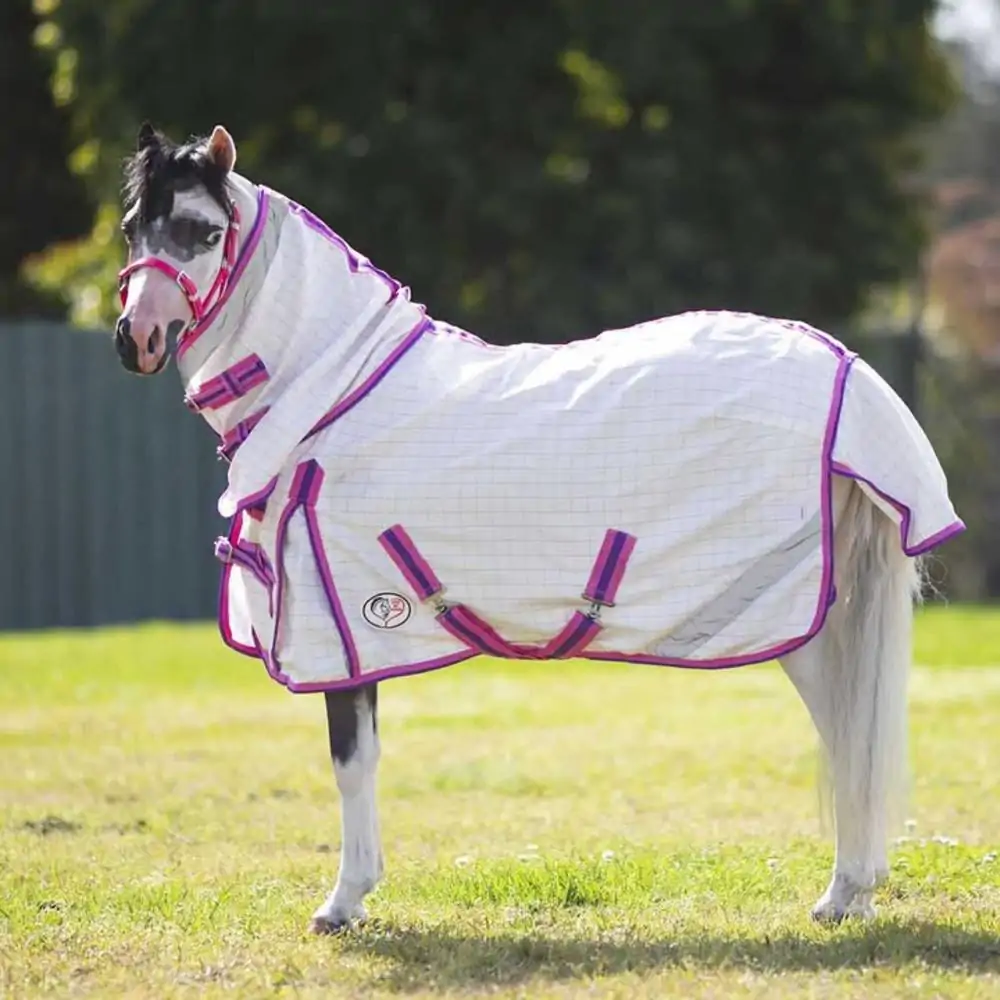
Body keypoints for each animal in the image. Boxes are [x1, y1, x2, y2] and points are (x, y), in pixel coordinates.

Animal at [113, 122, 964, 934]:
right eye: (131, 229)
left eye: (201, 230)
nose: (135, 338)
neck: (330, 390)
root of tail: (845, 366)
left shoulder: (340, 634)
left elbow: (351, 762)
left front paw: (344, 903)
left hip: (797, 622)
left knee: (849, 734)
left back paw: (845, 894)